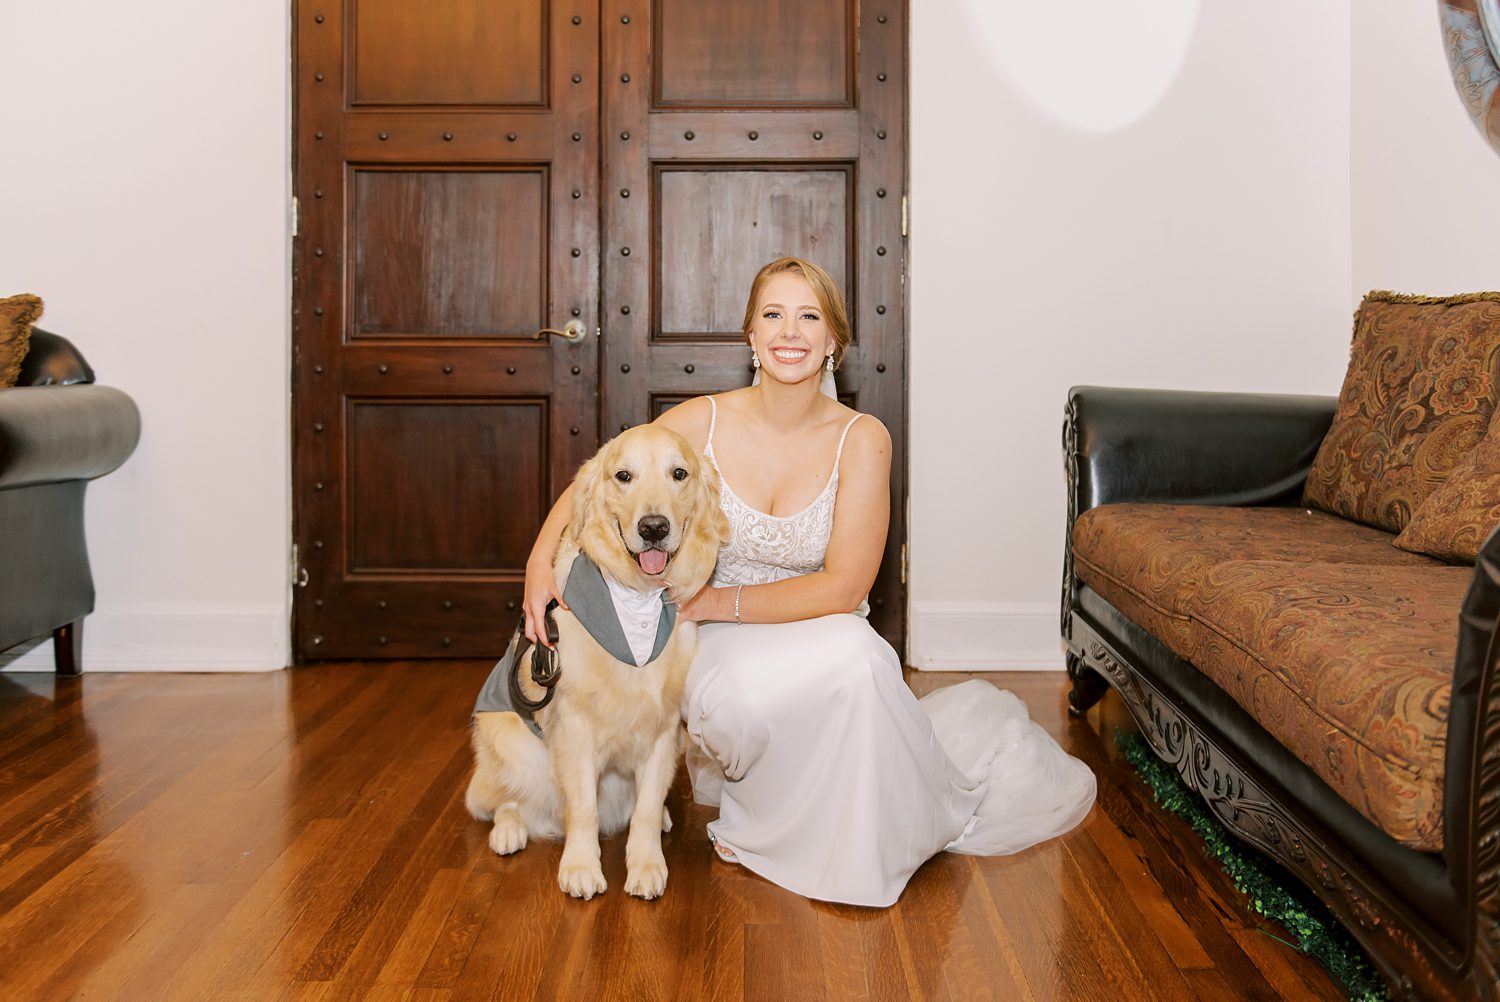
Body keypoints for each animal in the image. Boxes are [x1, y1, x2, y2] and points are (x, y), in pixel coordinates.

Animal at [465, 426, 729, 900]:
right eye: (623, 476)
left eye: (679, 473)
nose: (654, 527)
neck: (638, 598)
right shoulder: (574, 727)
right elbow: (583, 807)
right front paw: (581, 867)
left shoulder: (665, 730)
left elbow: (645, 807)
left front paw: (646, 863)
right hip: (510, 745)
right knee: (498, 801)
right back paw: (509, 830)